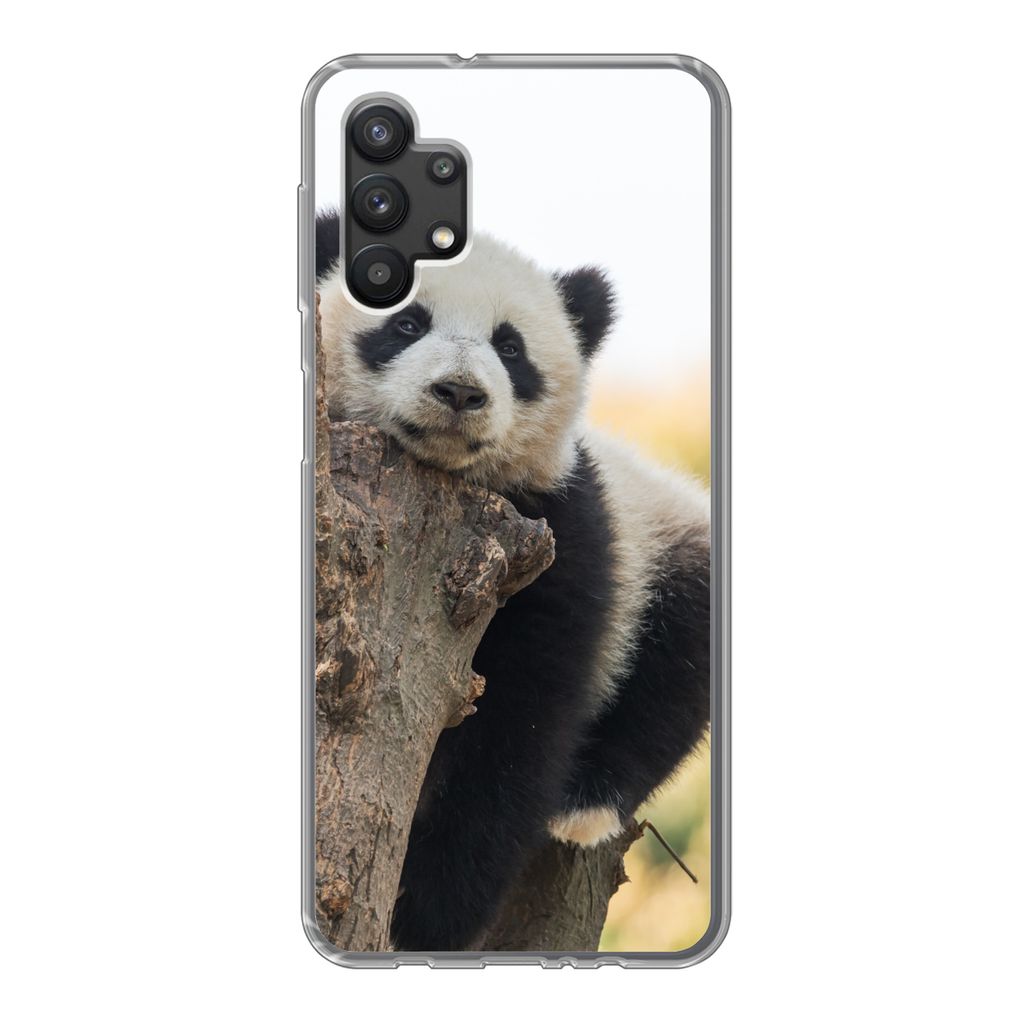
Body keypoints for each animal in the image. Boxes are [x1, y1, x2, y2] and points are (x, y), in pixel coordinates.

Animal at [316, 211, 711, 952]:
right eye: (406, 323)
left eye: (511, 348)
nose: (460, 392)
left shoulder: (560, 529)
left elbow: (521, 719)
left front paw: (424, 916)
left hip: (662, 538)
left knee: (679, 658)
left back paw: (587, 800)